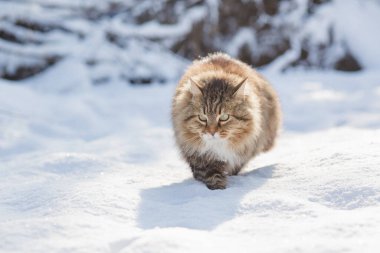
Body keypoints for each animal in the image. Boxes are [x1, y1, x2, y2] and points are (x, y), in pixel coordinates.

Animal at [171, 52, 280, 190]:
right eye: (202, 118)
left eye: (224, 117)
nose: (212, 132)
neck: (219, 147)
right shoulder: (199, 156)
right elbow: (211, 174)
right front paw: (218, 188)